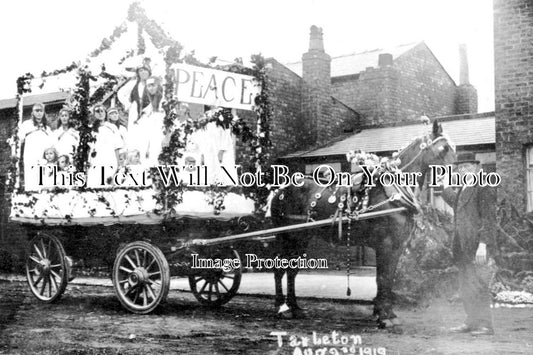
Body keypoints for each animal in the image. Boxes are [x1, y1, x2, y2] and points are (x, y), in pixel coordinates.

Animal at [272, 121, 456, 330]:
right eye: (444, 148)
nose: (456, 181)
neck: (393, 194)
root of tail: (280, 190)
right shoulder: (386, 244)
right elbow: (382, 278)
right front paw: (384, 316)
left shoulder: (398, 246)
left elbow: (388, 278)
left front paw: (386, 313)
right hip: (287, 236)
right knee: (280, 268)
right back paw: (282, 308)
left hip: (301, 238)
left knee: (292, 270)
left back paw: (295, 308)